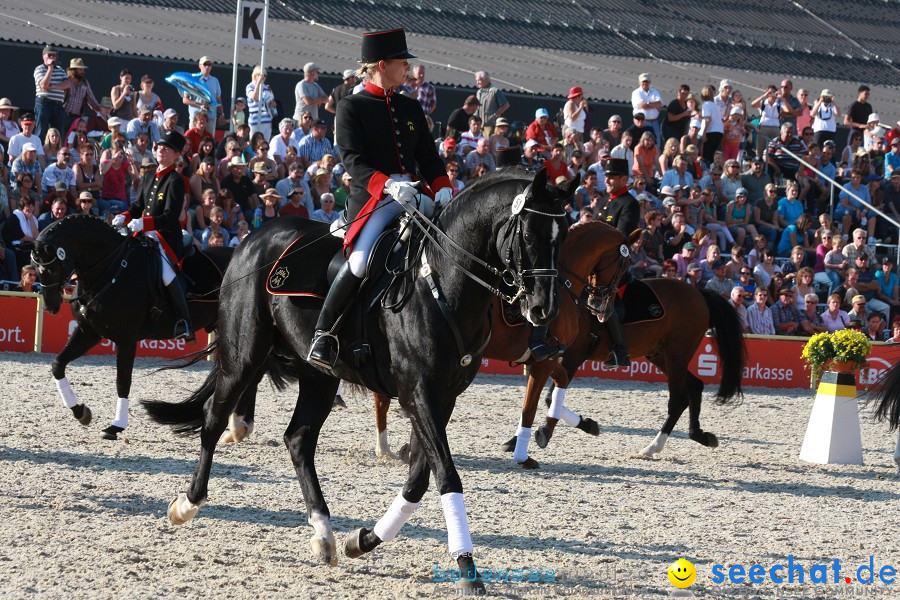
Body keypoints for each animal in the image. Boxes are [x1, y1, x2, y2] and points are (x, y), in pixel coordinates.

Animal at [32, 213, 232, 438]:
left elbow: (122, 381)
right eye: (36, 268)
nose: (51, 305)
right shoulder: (88, 331)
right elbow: (58, 365)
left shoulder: (126, 339)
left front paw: (116, 425)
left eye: (51, 268)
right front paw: (80, 411)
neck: (112, 269)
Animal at [144, 168, 572, 592]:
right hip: (244, 354)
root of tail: (252, 238)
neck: (440, 283)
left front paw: (364, 540)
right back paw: (187, 504)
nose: (543, 309)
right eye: (528, 235)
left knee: (298, 439)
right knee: (214, 418)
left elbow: (419, 481)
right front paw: (467, 569)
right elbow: (447, 476)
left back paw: (324, 534)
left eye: (563, 235)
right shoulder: (418, 393)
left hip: (318, 375)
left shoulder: (442, 397)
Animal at [370, 221, 628, 468]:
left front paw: (583, 423)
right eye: (624, 267)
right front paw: (528, 446)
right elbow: (530, 407)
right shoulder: (545, 360)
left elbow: (559, 383)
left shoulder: (544, 357)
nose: (604, 310)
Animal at [528, 278, 744, 458]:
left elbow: (550, 397)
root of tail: (698, 292)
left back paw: (652, 447)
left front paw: (574, 427)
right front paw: (586, 424)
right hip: (661, 355)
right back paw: (700, 435)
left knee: (679, 399)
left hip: (677, 354)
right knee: (695, 385)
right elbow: (549, 396)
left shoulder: (573, 357)